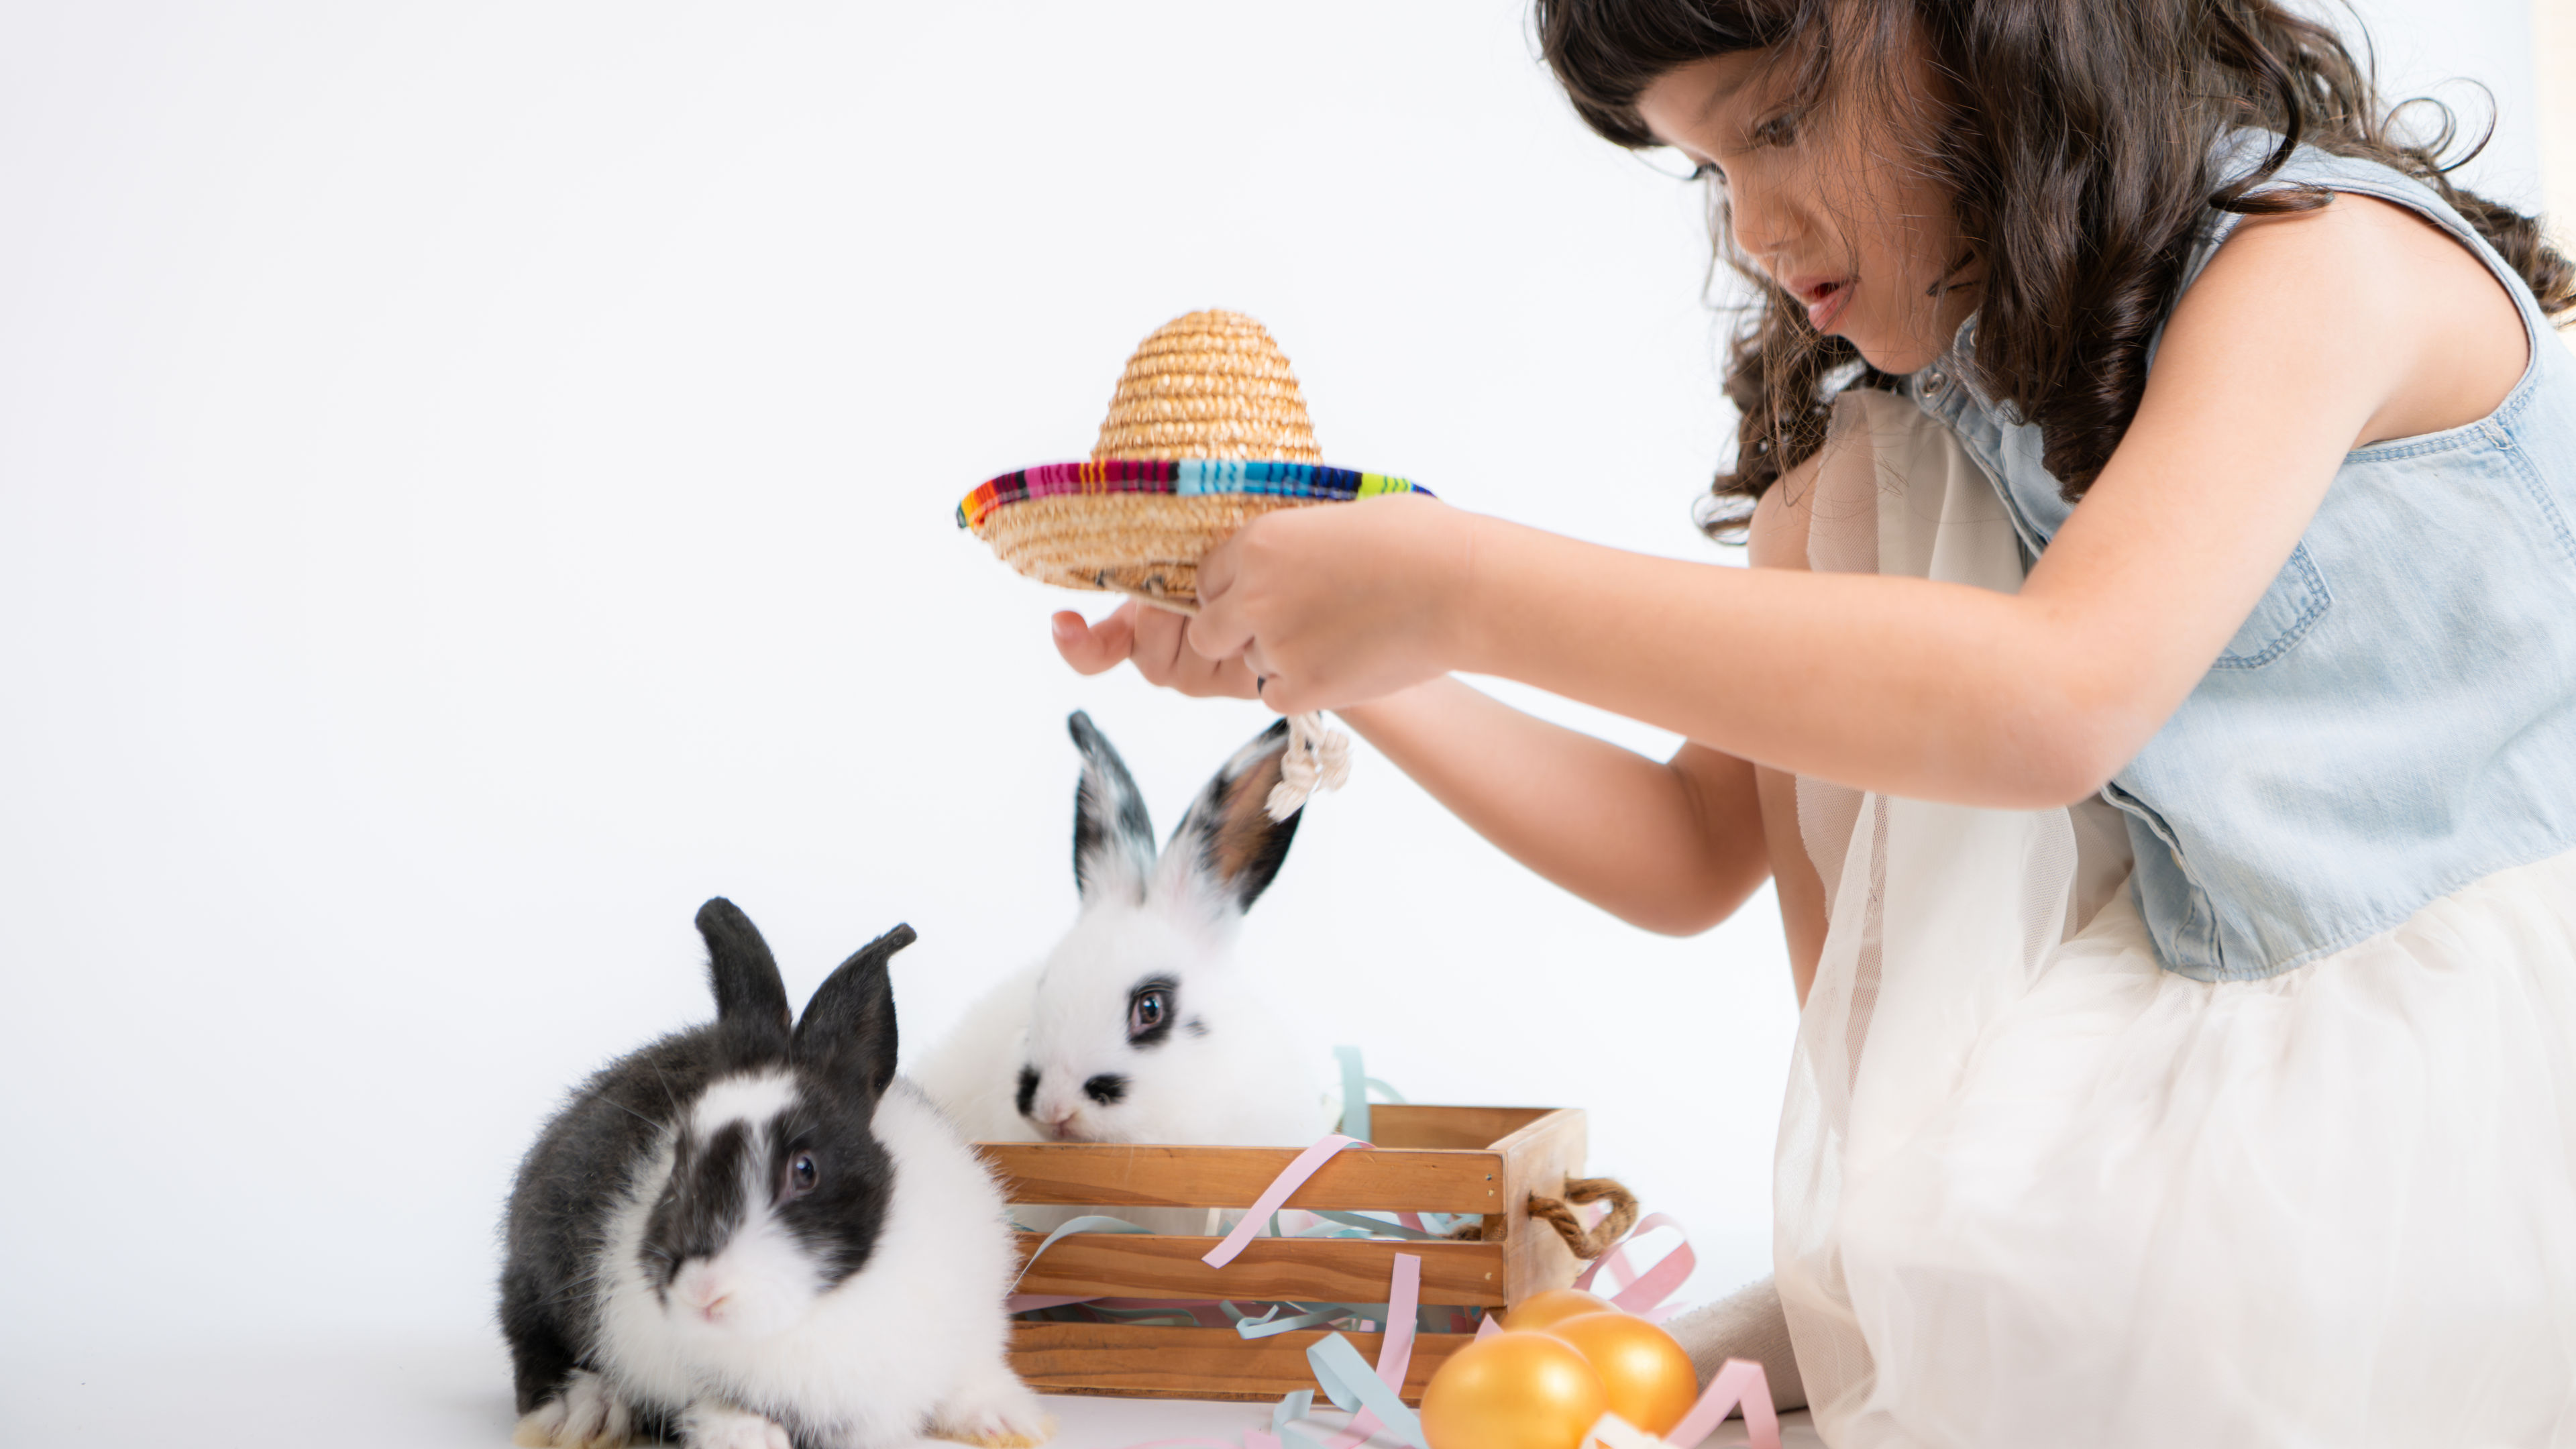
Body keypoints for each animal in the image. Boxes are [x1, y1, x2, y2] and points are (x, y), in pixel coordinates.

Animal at [502, 897, 1046, 1433]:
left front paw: (1014, 1424)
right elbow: (719, 1411)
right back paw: (582, 1414)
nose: (703, 1292)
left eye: (805, 1169)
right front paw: (747, 1436)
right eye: (678, 1164)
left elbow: (972, 1378)